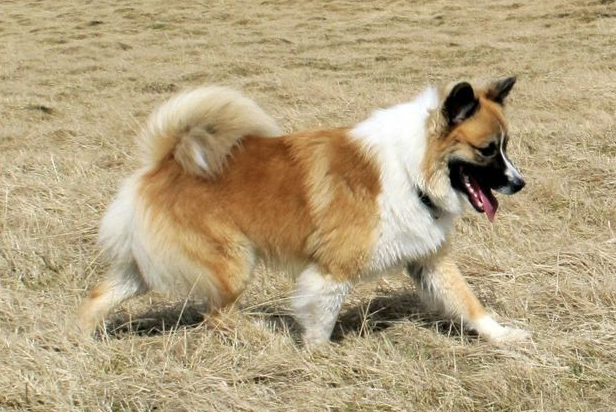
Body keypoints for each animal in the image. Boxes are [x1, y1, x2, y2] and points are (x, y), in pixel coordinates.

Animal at [77, 77, 528, 344]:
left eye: (505, 146)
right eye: (487, 150)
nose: (519, 183)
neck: (409, 167)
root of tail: (164, 161)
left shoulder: (429, 261)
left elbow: (469, 303)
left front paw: (505, 336)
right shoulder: (331, 272)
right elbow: (320, 323)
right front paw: (320, 358)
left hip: (143, 267)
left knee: (99, 296)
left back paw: (79, 337)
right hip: (233, 262)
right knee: (215, 316)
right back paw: (257, 335)